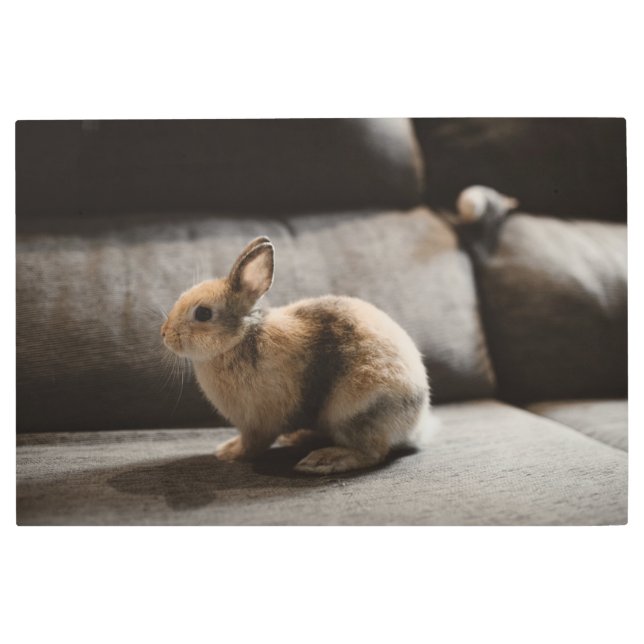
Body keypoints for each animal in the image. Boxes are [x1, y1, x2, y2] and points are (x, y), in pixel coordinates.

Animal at [161, 236, 436, 474]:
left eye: (203, 314)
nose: (164, 334)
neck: (241, 338)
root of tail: (418, 421)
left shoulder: (258, 423)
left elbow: (252, 444)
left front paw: (228, 453)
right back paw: (299, 438)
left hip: (355, 412)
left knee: (373, 452)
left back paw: (323, 460)